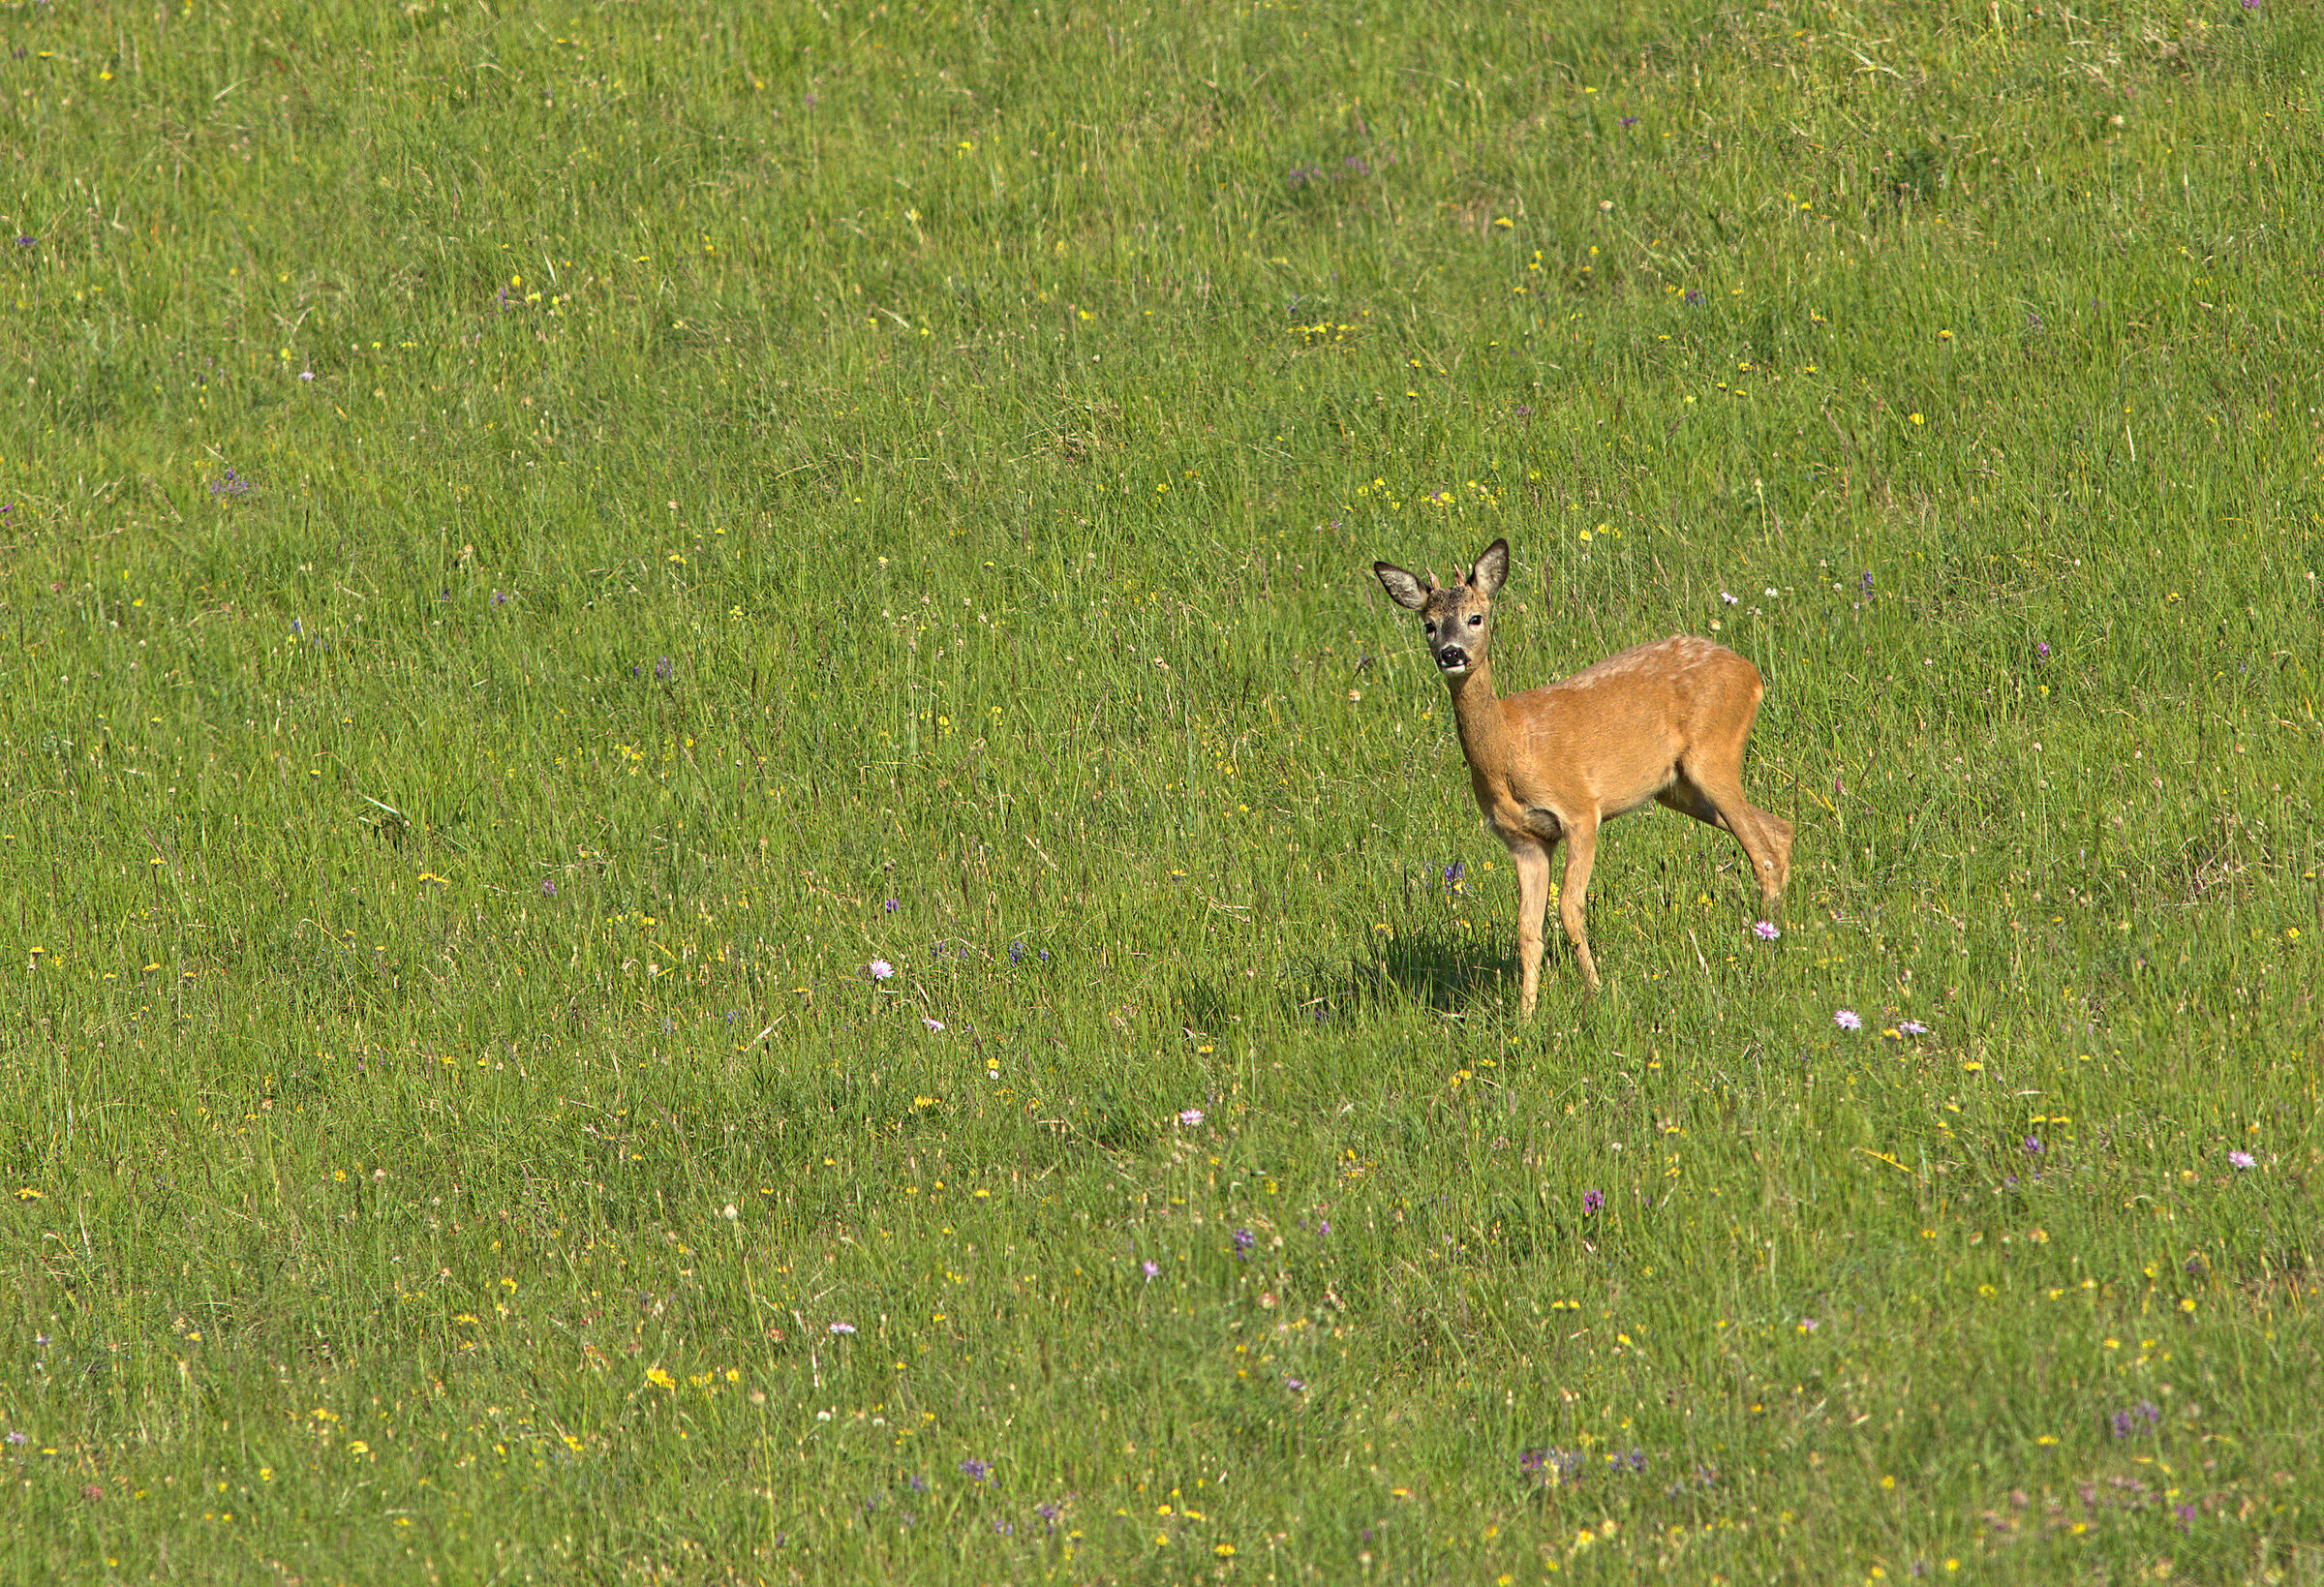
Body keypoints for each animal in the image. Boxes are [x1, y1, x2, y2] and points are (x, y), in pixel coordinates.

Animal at [1373, 537, 1792, 1014]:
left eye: (1474, 617)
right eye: (1429, 625)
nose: (1451, 654)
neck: (1510, 750)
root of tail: (1750, 673)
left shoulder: (1579, 811)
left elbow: (1570, 911)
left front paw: (1595, 991)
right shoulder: (1524, 839)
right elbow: (1527, 929)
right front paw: (1526, 1013)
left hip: (1714, 754)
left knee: (1763, 852)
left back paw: (1764, 946)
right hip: (1678, 787)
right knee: (1779, 830)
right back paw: (1777, 930)